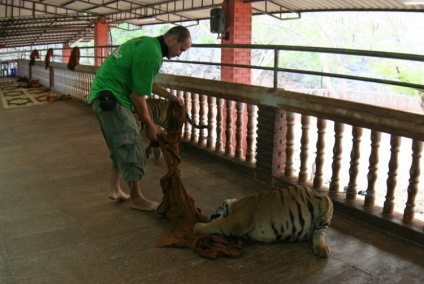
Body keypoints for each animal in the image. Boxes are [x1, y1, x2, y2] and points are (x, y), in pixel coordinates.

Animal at [193, 185, 334, 258]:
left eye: (218, 207)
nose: (210, 215)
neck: (236, 205)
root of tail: (315, 191)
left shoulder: (236, 221)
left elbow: (217, 223)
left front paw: (197, 226)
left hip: (326, 203)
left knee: (320, 232)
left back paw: (321, 248)